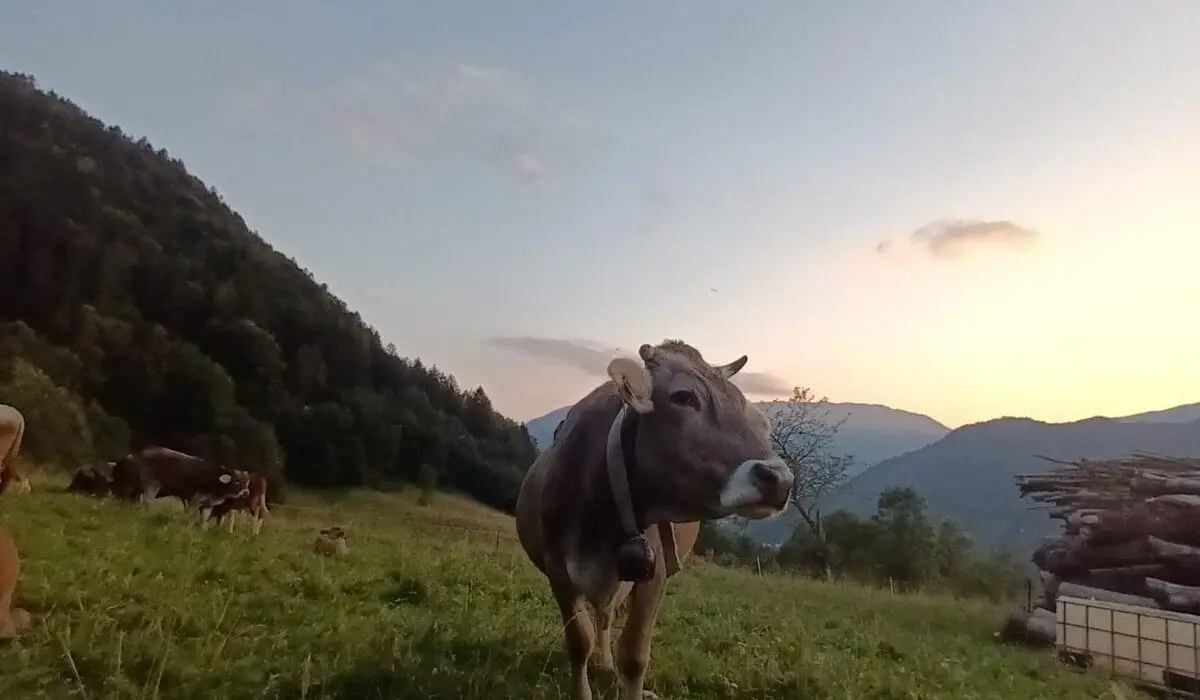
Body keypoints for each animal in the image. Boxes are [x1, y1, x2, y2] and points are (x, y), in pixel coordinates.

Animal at [110, 446, 250, 519]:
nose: (246, 492)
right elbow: (192, 515)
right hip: (151, 485)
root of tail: (132, 456)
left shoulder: (208, 505)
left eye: (246, 483)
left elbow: (203, 521)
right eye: (237, 482)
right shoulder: (195, 499)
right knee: (145, 501)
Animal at [515, 340, 794, 700]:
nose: (780, 480)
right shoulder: (557, 570)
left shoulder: (655, 572)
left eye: (755, 418)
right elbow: (579, 641)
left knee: (607, 617)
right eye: (684, 397)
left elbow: (634, 656)